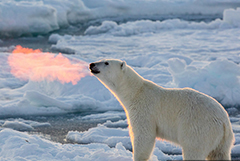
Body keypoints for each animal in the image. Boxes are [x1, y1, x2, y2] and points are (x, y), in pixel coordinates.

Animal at [89, 59, 233, 161]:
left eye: (106, 62)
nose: (91, 64)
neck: (135, 92)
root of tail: (223, 121)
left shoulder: (144, 110)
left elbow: (144, 136)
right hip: (222, 141)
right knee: (219, 155)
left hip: (198, 129)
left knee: (193, 150)